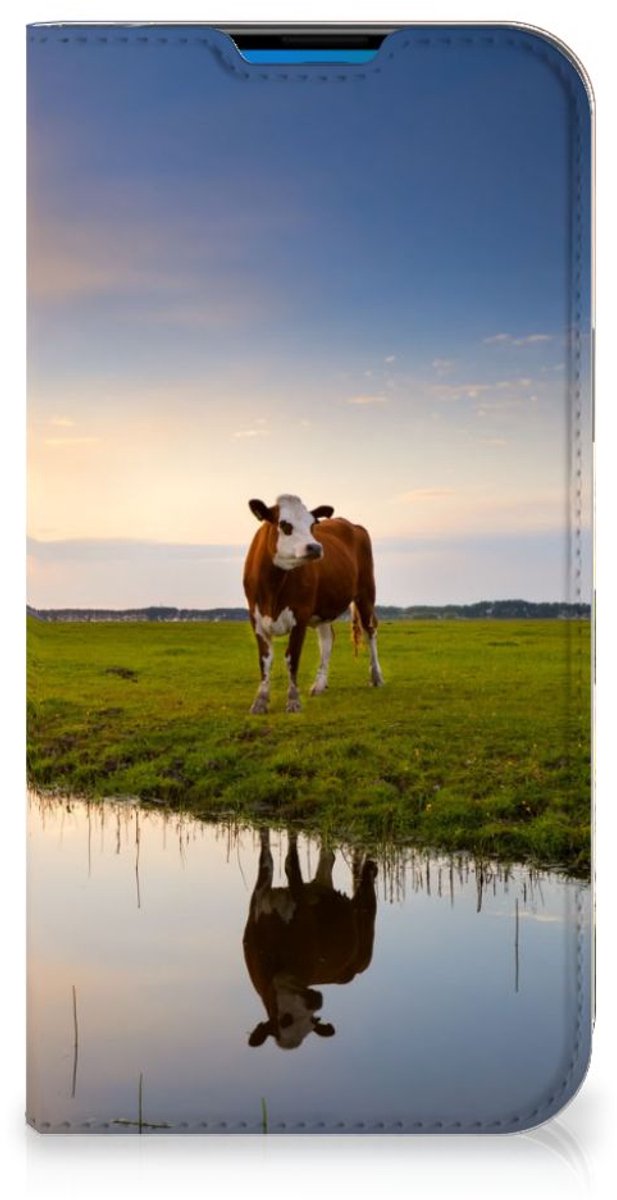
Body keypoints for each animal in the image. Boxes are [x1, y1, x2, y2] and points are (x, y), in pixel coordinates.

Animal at [243, 494, 384, 714]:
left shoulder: (300, 616)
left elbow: (292, 658)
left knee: (370, 631)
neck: (272, 587)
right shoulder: (256, 618)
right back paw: (319, 685)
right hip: (324, 609)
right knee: (327, 639)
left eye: (312, 525)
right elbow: (265, 660)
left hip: (366, 593)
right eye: (284, 525)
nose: (315, 547)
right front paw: (260, 701)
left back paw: (376, 676)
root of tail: (352, 524)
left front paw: (293, 701)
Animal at [243, 829, 378, 1050]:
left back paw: (370, 868)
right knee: (328, 857)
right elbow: (267, 857)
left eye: (312, 1021)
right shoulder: (259, 899)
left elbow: (291, 863)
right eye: (285, 1020)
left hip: (365, 931)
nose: (316, 1001)